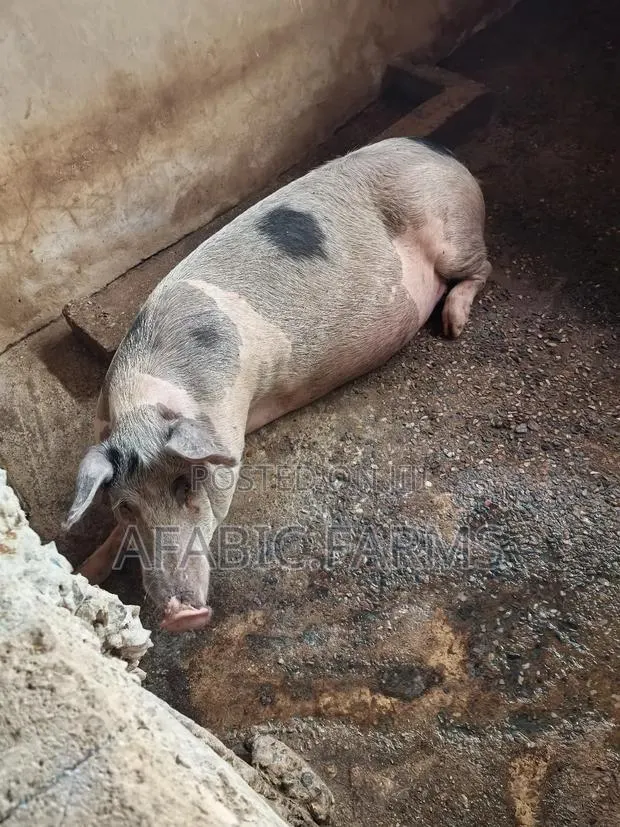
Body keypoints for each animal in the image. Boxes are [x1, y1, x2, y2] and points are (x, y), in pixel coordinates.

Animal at [65, 137, 491, 632]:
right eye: (126, 507)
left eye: (188, 485)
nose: (181, 615)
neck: (144, 406)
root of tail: (435, 149)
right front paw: (85, 569)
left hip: (451, 233)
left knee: (483, 266)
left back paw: (453, 325)